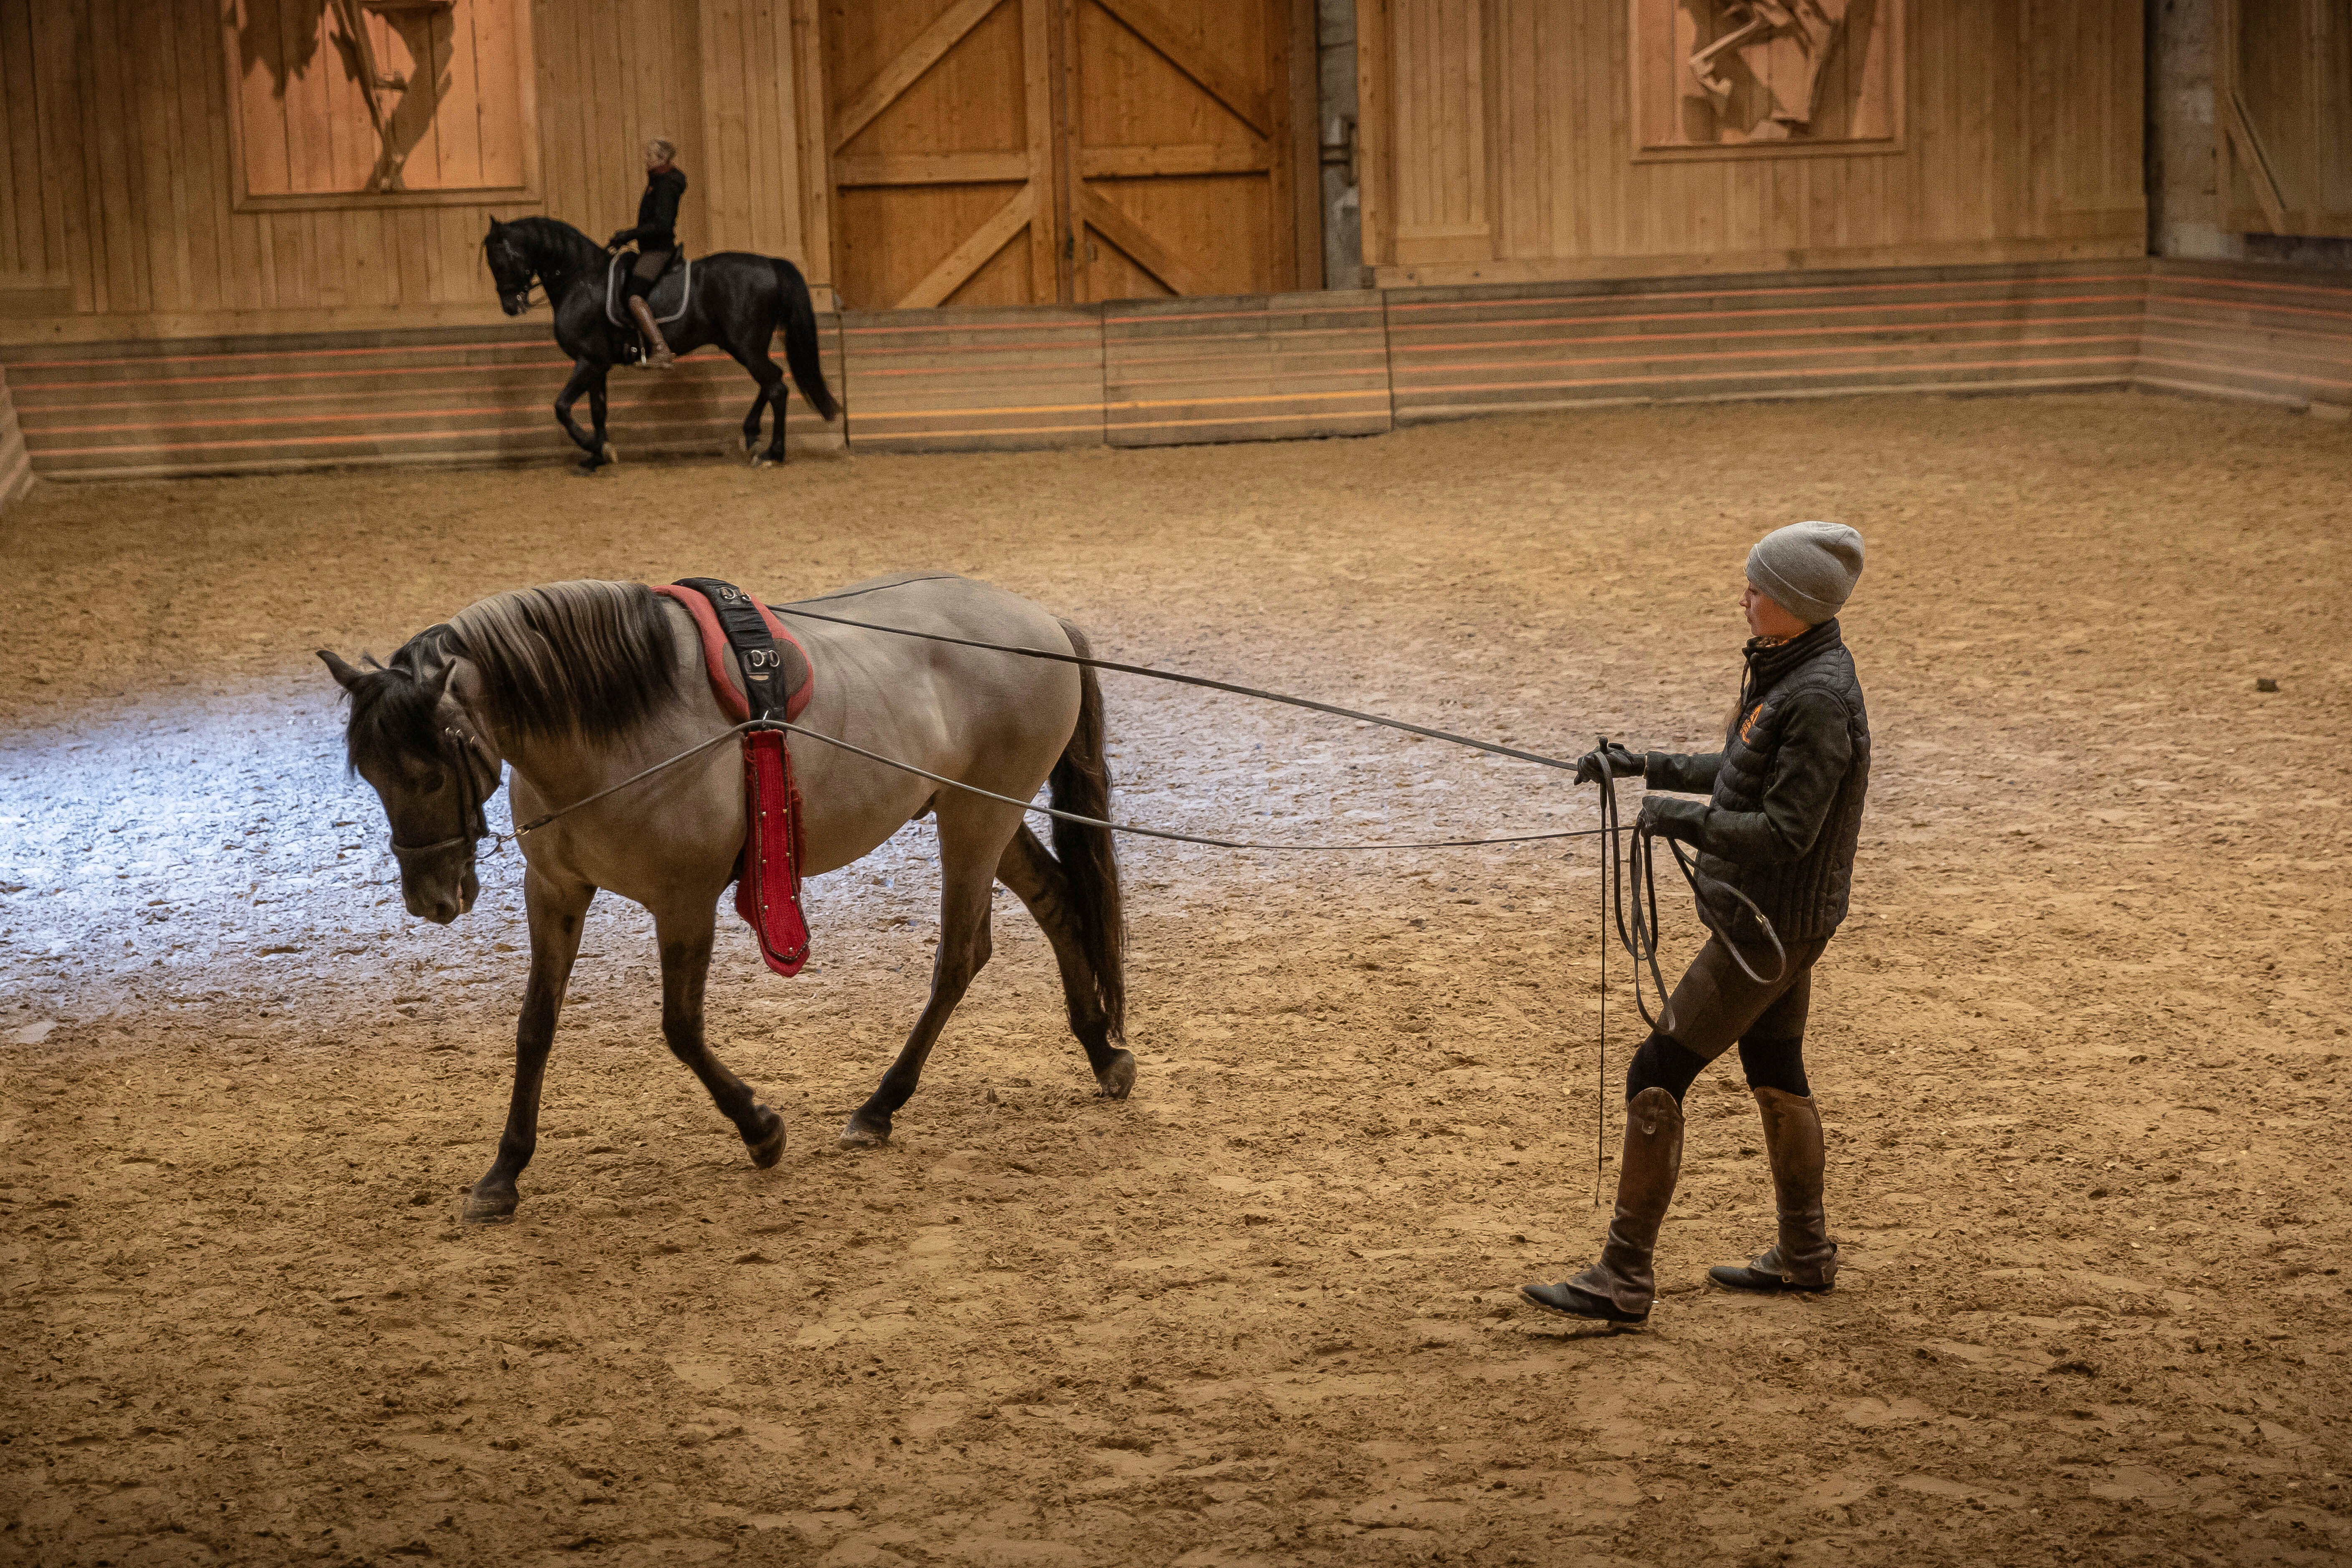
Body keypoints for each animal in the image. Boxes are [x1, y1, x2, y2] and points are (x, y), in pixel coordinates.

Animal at [317, 573, 1132, 1224]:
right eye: (372, 775)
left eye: (429, 771)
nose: (431, 898)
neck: (621, 723)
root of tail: (1044, 624)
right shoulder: (554, 890)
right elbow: (534, 1029)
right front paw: (503, 1174)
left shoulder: (684, 900)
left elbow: (680, 1028)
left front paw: (761, 1128)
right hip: (983, 814)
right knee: (1059, 903)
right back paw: (1102, 1053)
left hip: (975, 820)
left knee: (961, 956)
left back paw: (879, 1107)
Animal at [480, 215, 839, 474]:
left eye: (500, 260)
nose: (510, 306)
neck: (580, 280)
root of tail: (770, 264)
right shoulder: (598, 365)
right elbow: (598, 410)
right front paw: (597, 456)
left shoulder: (588, 361)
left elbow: (562, 407)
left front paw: (595, 448)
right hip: (743, 346)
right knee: (772, 380)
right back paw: (751, 436)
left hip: (746, 347)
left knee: (776, 386)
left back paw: (771, 454)